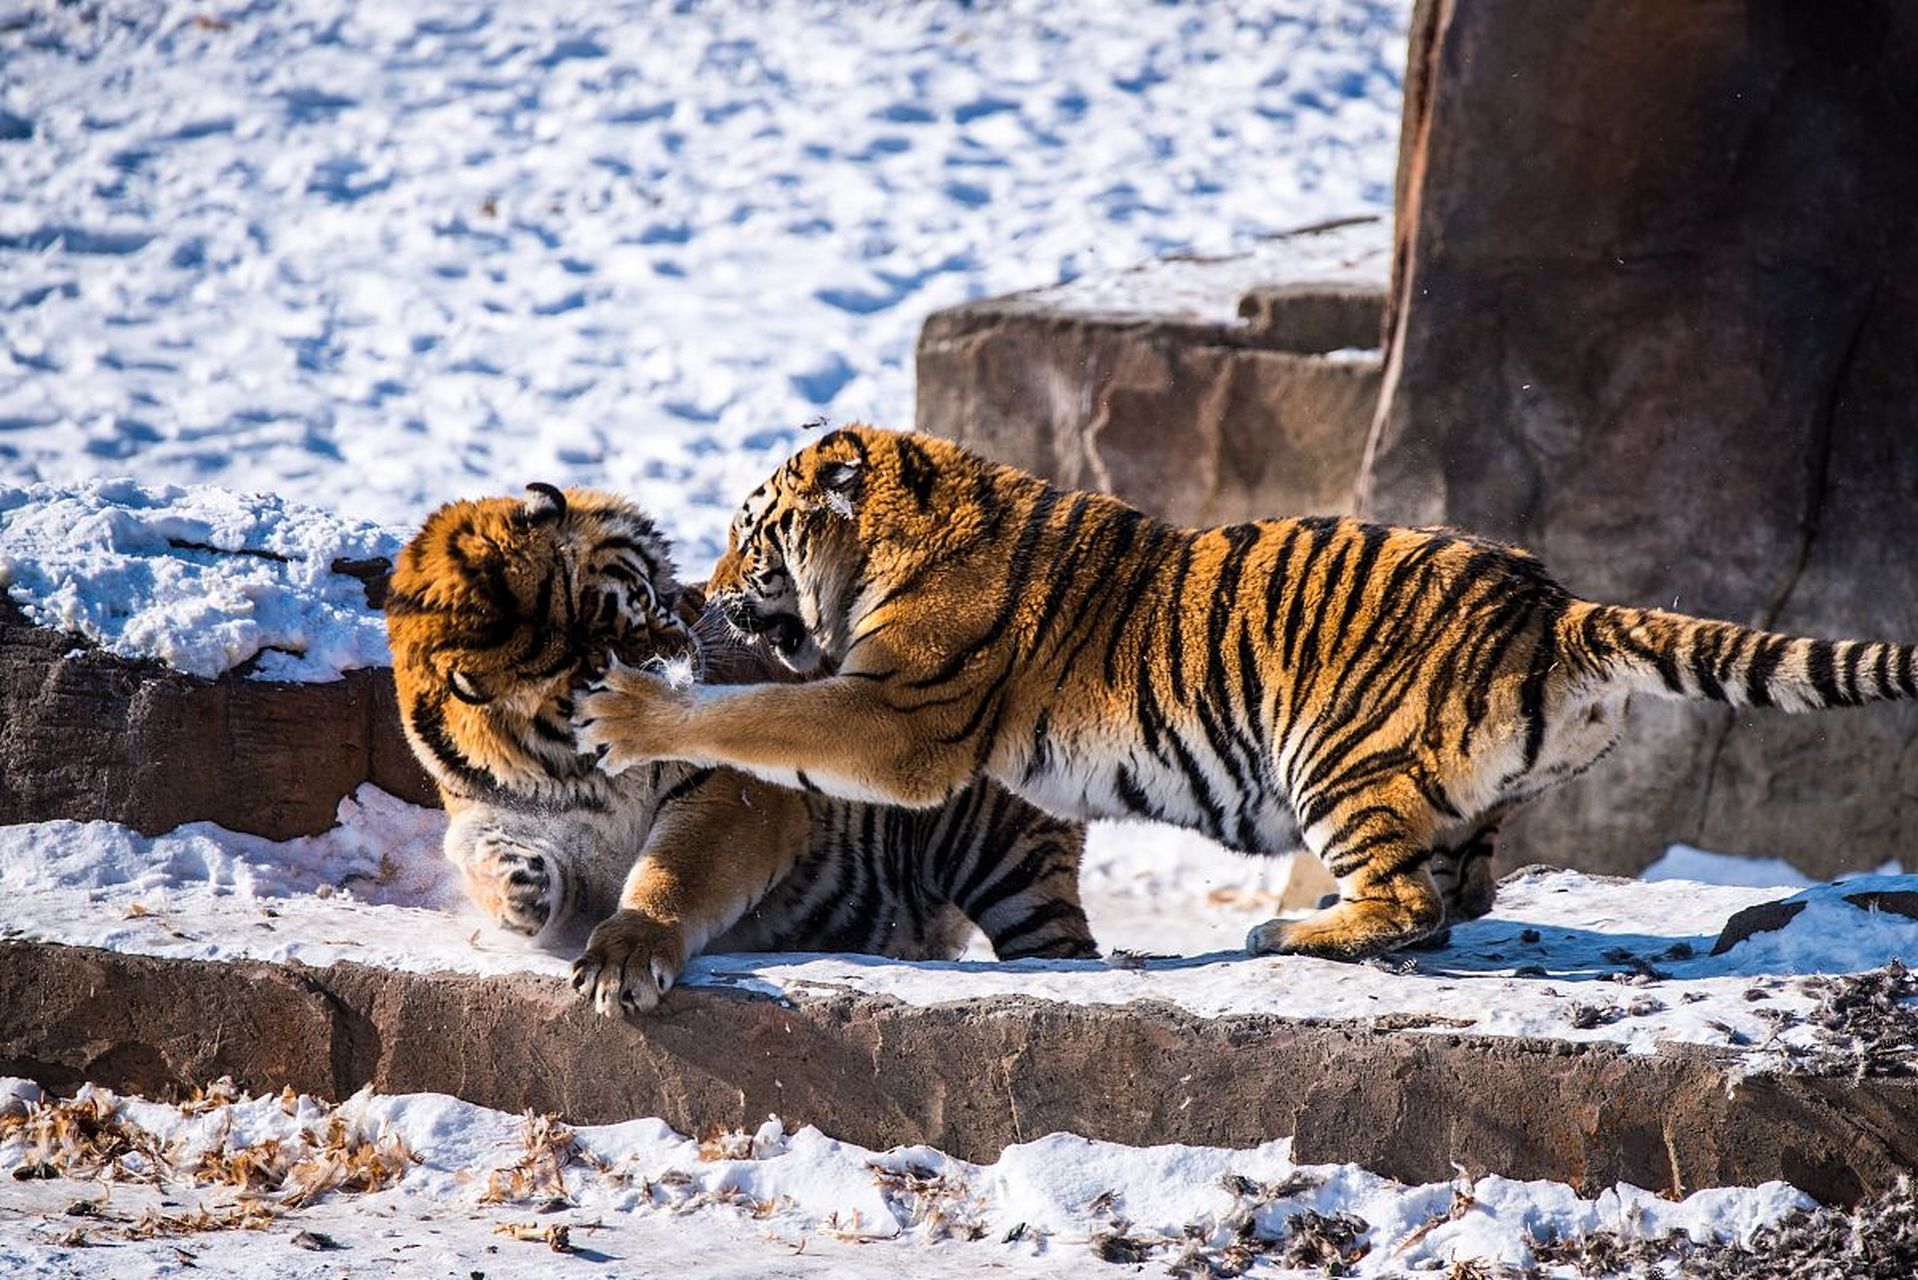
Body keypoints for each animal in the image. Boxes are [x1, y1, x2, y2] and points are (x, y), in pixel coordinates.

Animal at [382, 481, 1097, 1015]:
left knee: (1064, 941)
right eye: (589, 672)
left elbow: (673, 874)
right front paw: (520, 895)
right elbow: (474, 845)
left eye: (639, 602)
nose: (679, 662)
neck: (565, 761)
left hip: (1000, 853)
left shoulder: (729, 792)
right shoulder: (482, 800)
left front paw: (624, 958)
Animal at [573, 425, 1918, 963]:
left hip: (1333, 749)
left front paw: (629, 709)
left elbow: (758, 718)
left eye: (748, 536)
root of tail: (1551, 599)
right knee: (1457, 896)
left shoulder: (895, 714)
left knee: (1406, 905)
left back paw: (1286, 929)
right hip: (1451, 797)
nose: (698, 593)